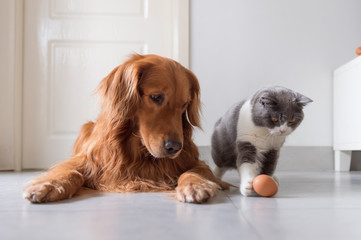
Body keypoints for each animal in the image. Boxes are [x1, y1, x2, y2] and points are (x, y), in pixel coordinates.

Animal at [23, 54, 228, 202]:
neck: (139, 151)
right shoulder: (89, 161)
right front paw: (49, 185)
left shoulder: (192, 160)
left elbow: (193, 171)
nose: (175, 147)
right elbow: (71, 171)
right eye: (156, 97)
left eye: (185, 104)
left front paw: (195, 186)